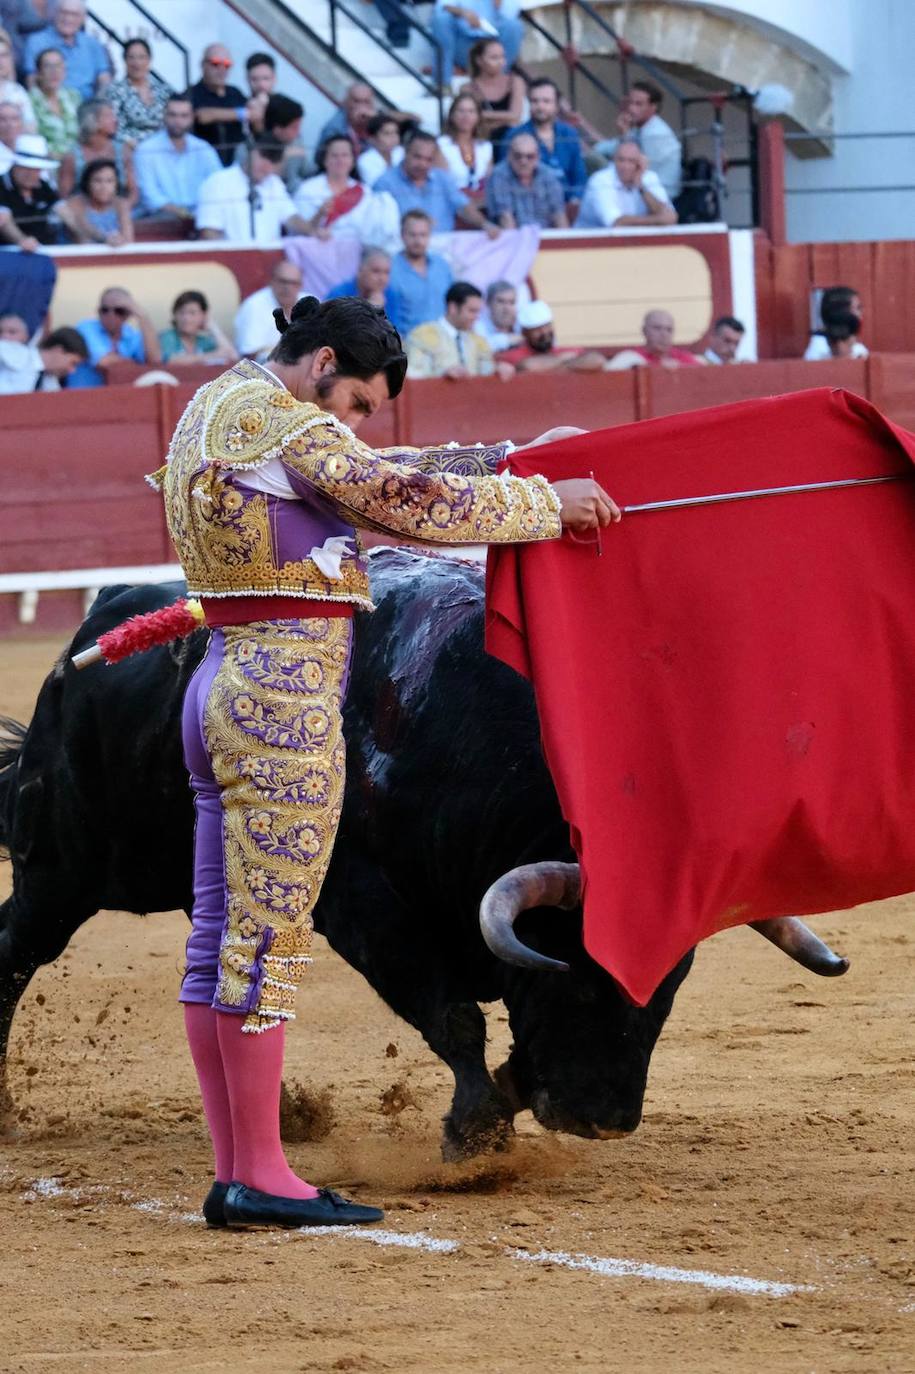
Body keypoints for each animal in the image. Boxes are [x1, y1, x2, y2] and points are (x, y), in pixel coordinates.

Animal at [3, 552, 695, 1154]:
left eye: (667, 993)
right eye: (581, 979)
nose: (604, 1120)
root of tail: (99, 622)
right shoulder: (364, 903)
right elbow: (453, 1013)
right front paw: (477, 1131)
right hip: (65, 868)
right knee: (18, 945)